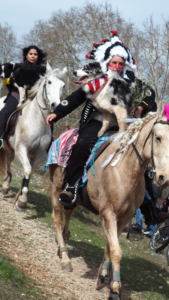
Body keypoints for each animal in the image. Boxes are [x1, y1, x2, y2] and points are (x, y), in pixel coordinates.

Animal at [0, 62, 67, 211]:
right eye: (49, 82)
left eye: (63, 85)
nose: (55, 105)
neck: (38, 119)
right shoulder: (22, 149)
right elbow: (27, 169)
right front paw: (22, 200)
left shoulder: (37, 154)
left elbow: (29, 174)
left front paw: (20, 199)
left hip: (10, 147)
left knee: (8, 161)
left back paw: (6, 186)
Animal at [48, 101, 169, 300]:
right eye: (158, 137)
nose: (163, 177)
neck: (124, 168)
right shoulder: (108, 213)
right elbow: (116, 251)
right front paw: (115, 289)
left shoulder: (124, 218)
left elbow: (109, 247)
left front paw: (103, 277)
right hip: (57, 188)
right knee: (57, 219)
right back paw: (65, 258)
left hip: (74, 198)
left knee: (69, 212)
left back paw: (61, 243)